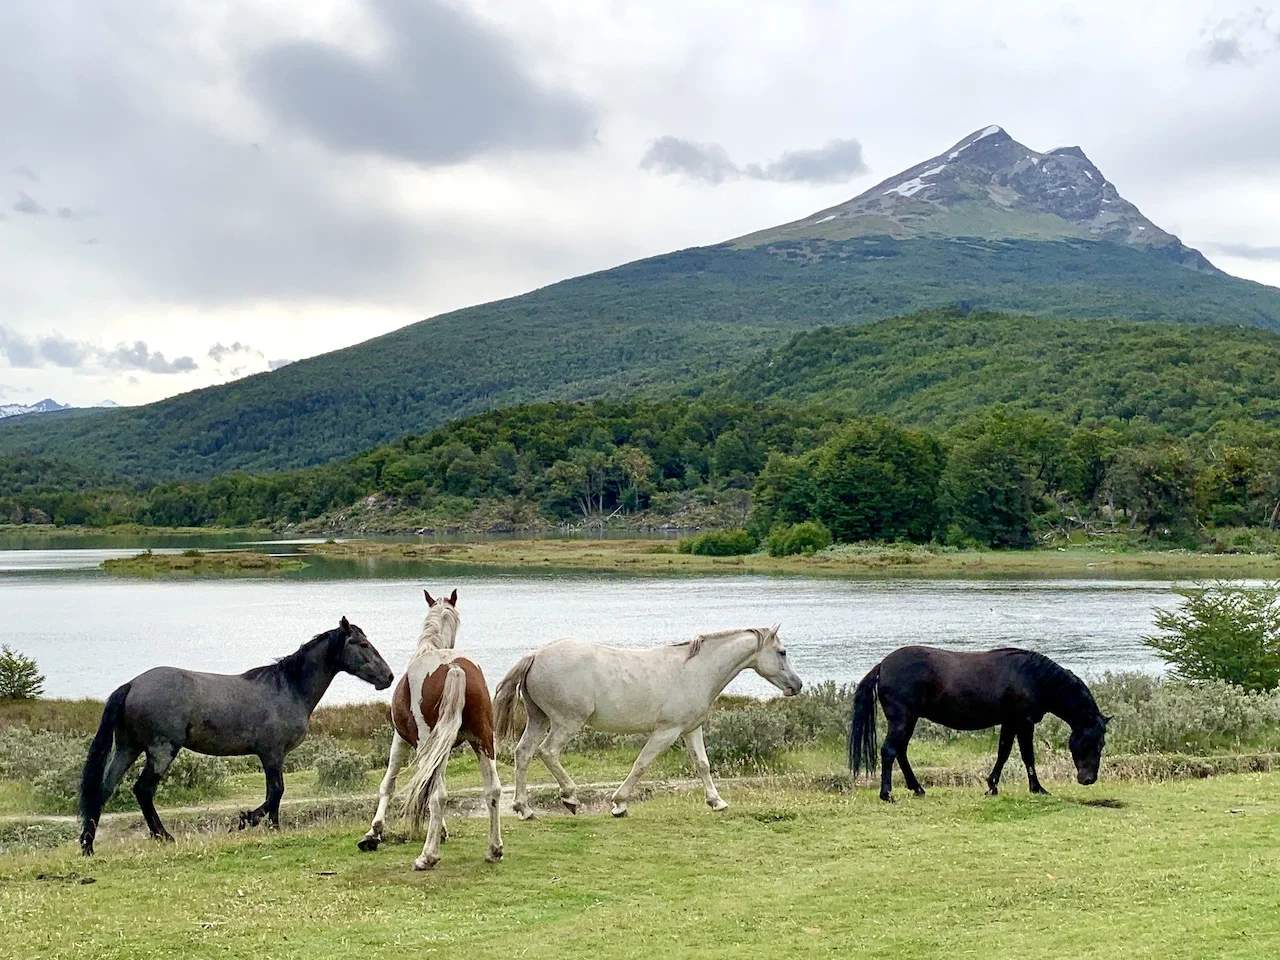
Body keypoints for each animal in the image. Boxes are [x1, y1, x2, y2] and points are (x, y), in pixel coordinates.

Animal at [80, 616, 389, 855]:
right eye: (363, 645)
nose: (388, 677)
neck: (288, 688)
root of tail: (132, 684)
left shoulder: (272, 755)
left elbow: (274, 794)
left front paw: (269, 826)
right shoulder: (272, 753)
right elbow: (276, 792)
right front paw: (248, 821)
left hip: (127, 748)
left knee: (104, 789)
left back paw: (88, 844)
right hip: (161, 750)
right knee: (143, 790)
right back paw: (163, 836)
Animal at [358, 593, 506, 870]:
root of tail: (454, 667)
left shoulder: (401, 739)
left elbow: (390, 783)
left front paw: (373, 832)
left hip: (432, 742)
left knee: (438, 795)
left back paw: (427, 856)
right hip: (483, 740)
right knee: (493, 790)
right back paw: (494, 850)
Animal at [488, 627, 798, 824]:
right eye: (782, 652)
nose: (797, 685)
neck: (696, 670)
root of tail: (536, 655)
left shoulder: (690, 729)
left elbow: (702, 765)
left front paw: (717, 802)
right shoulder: (666, 732)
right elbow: (642, 764)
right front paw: (619, 804)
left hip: (538, 718)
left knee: (523, 753)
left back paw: (524, 809)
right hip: (566, 722)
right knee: (547, 752)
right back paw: (570, 798)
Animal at [849, 650, 1111, 798]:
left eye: (1101, 744)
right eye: (1094, 743)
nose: (1088, 779)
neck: (1034, 678)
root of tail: (882, 666)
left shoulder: (1010, 722)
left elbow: (1003, 752)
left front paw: (992, 787)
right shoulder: (1023, 722)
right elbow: (1027, 756)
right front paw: (1037, 788)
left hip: (909, 720)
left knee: (900, 752)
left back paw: (918, 789)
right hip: (903, 719)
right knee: (889, 751)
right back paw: (887, 794)